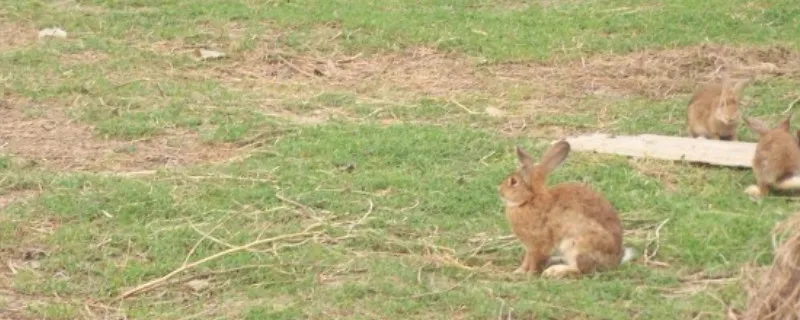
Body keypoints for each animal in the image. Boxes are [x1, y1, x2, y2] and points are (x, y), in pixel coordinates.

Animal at [496, 140, 636, 278]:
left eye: (513, 182)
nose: (500, 191)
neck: (529, 200)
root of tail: (614, 261)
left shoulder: (538, 244)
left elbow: (535, 260)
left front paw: (529, 274)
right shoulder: (529, 248)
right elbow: (526, 261)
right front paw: (519, 271)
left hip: (577, 245)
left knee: (580, 270)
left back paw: (554, 271)